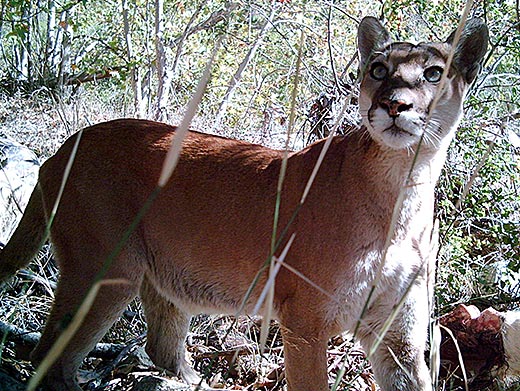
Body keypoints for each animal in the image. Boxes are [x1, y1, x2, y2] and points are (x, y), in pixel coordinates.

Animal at [0, 16, 488, 391]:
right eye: (380, 69)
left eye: (433, 74)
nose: (394, 105)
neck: (404, 183)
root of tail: (64, 147)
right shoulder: (305, 321)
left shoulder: (396, 332)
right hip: (103, 269)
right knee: (50, 356)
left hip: (159, 275)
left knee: (160, 346)